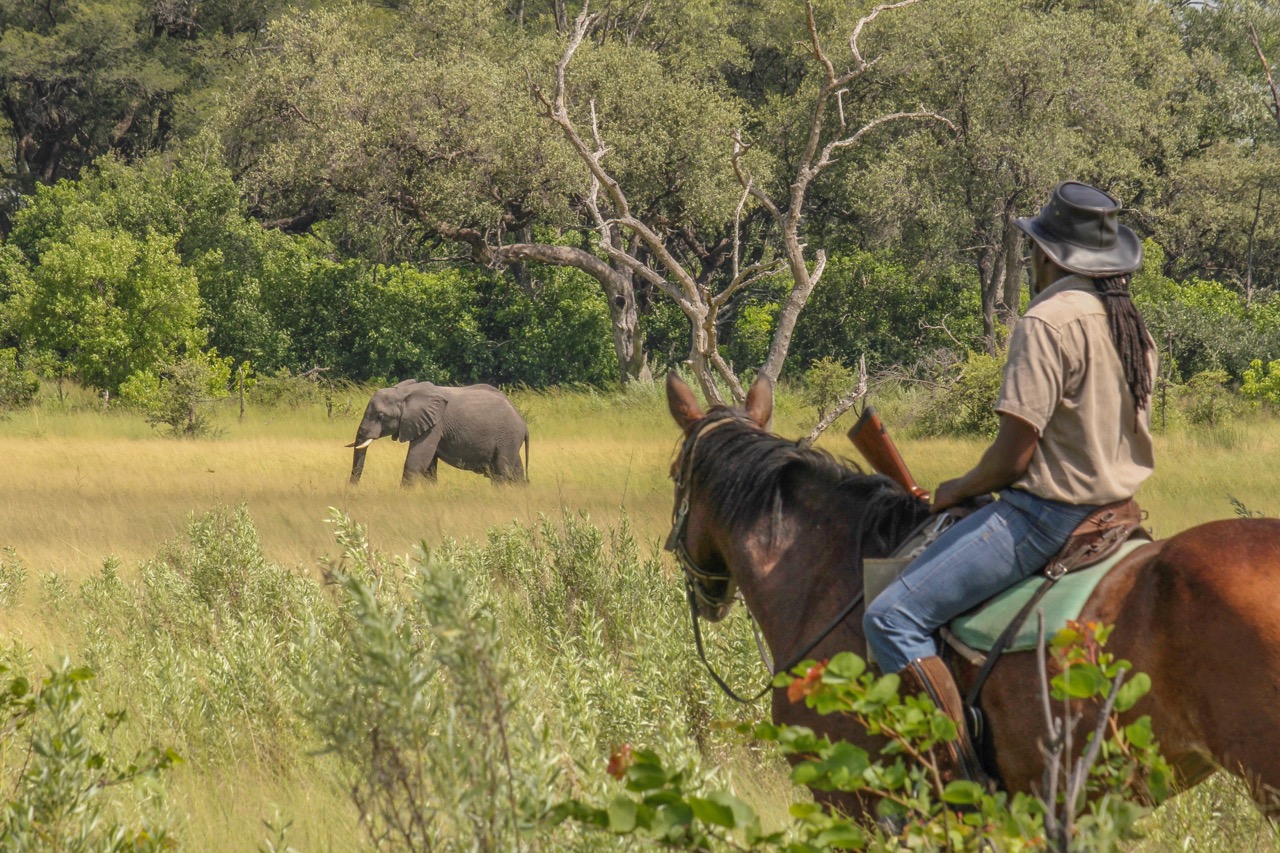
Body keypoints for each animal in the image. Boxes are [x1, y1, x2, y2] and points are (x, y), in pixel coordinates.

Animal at [348, 379, 527, 484]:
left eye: (380, 416)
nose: (352, 489)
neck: (405, 392)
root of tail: (523, 423)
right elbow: (429, 468)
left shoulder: (434, 425)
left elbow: (416, 462)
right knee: (516, 471)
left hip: (507, 437)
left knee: (502, 471)